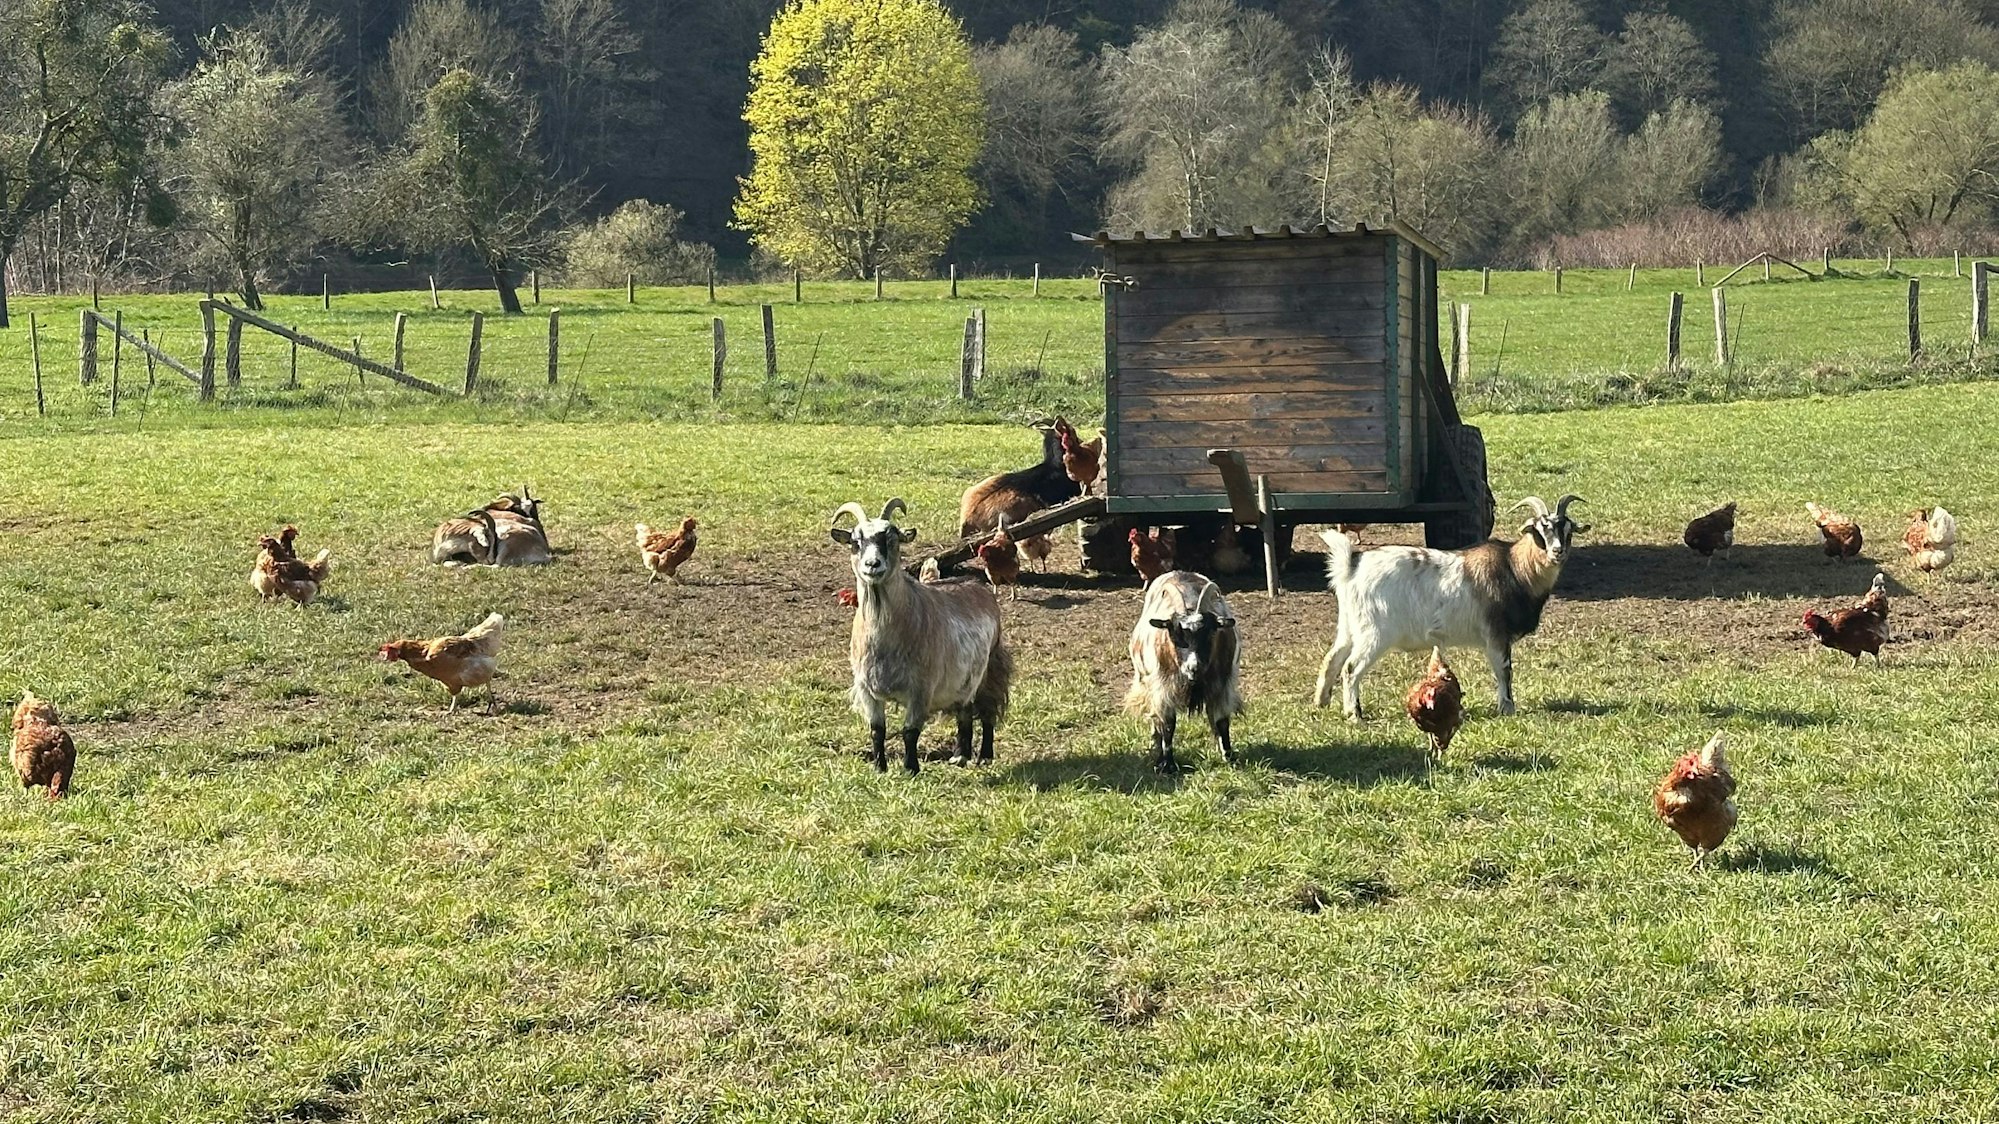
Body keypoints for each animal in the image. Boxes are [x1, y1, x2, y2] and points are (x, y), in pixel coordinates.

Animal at [832, 498, 1012, 774]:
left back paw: (984, 755)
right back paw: (960, 755)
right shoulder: (866, 689)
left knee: (987, 709)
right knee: (965, 711)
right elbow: (877, 730)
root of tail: (976, 586)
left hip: (992, 666)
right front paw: (879, 768)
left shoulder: (921, 687)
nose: (872, 565)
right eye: (855, 542)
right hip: (964, 678)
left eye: (892, 539)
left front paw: (910, 769)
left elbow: (910, 731)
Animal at [1126, 571, 1243, 773]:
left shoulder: (1223, 686)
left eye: (1210, 632)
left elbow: (1222, 721)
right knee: (1156, 720)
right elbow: (1168, 724)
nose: (1193, 666)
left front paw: (1229, 757)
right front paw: (1167, 765)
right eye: (1174, 633)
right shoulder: (1163, 688)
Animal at [1313, 494, 1587, 720]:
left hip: (1350, 625)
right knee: (1351, 668)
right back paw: (1354, 715)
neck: (1515, 568)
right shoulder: (1496, 635)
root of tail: (1352, 567)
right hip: (1375, 633)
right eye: (1539, 530)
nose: (1557, 551)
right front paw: (1507, 708)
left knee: (1332, 658)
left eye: (1568, 529)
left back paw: (1321, 702)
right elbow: (1503, 670)